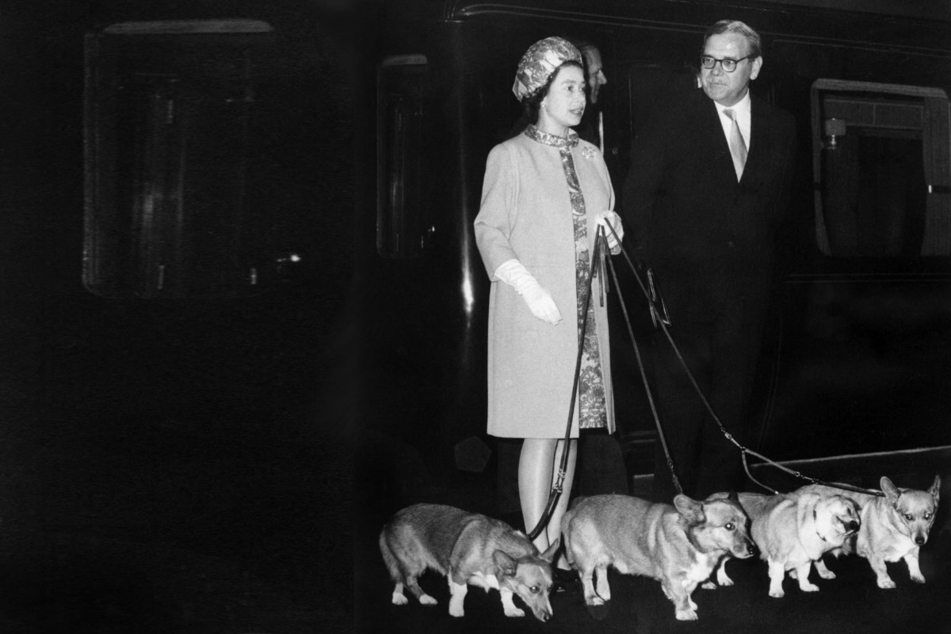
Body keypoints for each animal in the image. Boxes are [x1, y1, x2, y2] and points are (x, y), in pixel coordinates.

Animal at [380, 502, 556, 620]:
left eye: (551, 589)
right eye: (534, 589)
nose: (549, 617)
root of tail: (389, 521)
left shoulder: (505, 579)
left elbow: (507, 594)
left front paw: (510, 609)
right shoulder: (459, 571)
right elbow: (462, 591)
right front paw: (456, 609)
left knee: (399, 577)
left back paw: (398, 596)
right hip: (415, 563)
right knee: (407, 580)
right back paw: (424, 598)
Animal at [560, 492, 756, 620]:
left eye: (747, 524)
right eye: (729, 526)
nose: (753, 550)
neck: (692, 542)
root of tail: (577, 507)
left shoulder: (691, 576)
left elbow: (688, 591)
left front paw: (686, 602)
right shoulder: (672, 576)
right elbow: (681, 594)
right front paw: (685, 611)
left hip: (604, 553)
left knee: (601, 569)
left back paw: (603, 591)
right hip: (588, 557)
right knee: (585, 577)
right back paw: (592, 597)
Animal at [800, 474, 940, 588]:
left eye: (928, 516)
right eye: (908, 517)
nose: (920, 540)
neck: (895, 527)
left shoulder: (912, 549)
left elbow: (914, 563)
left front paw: (917, 576)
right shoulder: (874, 553)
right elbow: (882, 567)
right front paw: (885, 581)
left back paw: (824, 572)